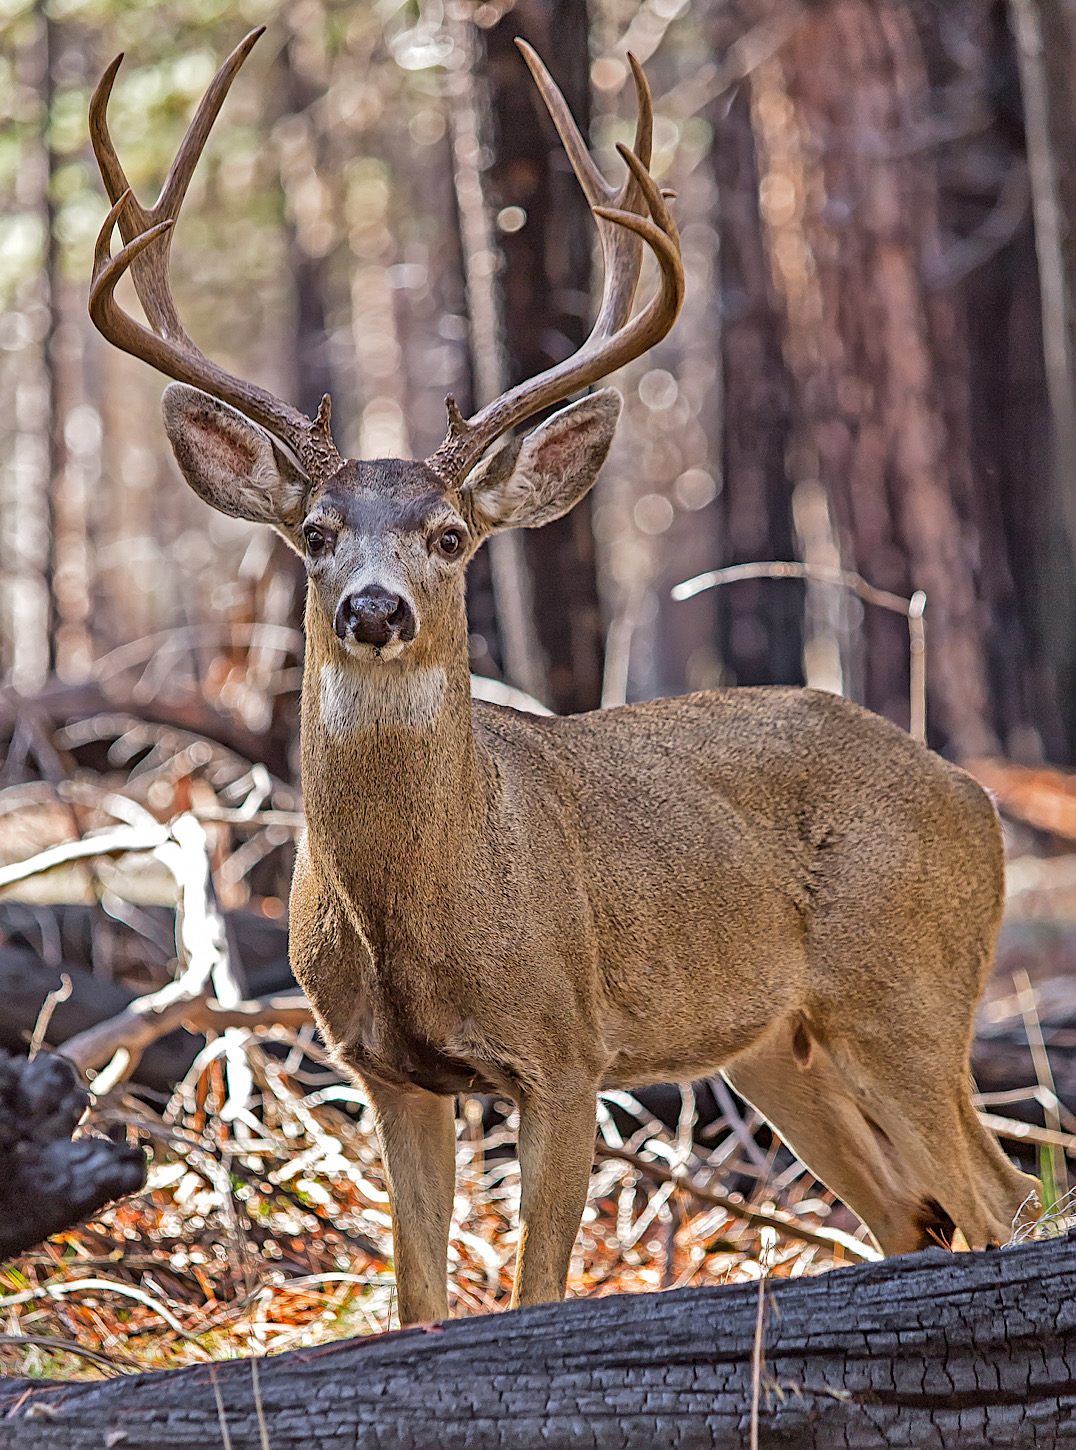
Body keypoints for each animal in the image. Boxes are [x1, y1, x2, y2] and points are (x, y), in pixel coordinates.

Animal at [88, 27, 1039, 1325]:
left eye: (447, 534)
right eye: (317, 532)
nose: (373, 608)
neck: (427, 906)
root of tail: (970, 792)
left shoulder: (564, 1047)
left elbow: (537, 1293)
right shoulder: (383, 1067)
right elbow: (419, 1301)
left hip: (905, 989)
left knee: (1000, 1193)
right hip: (774, 1043)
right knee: (913, 1215)